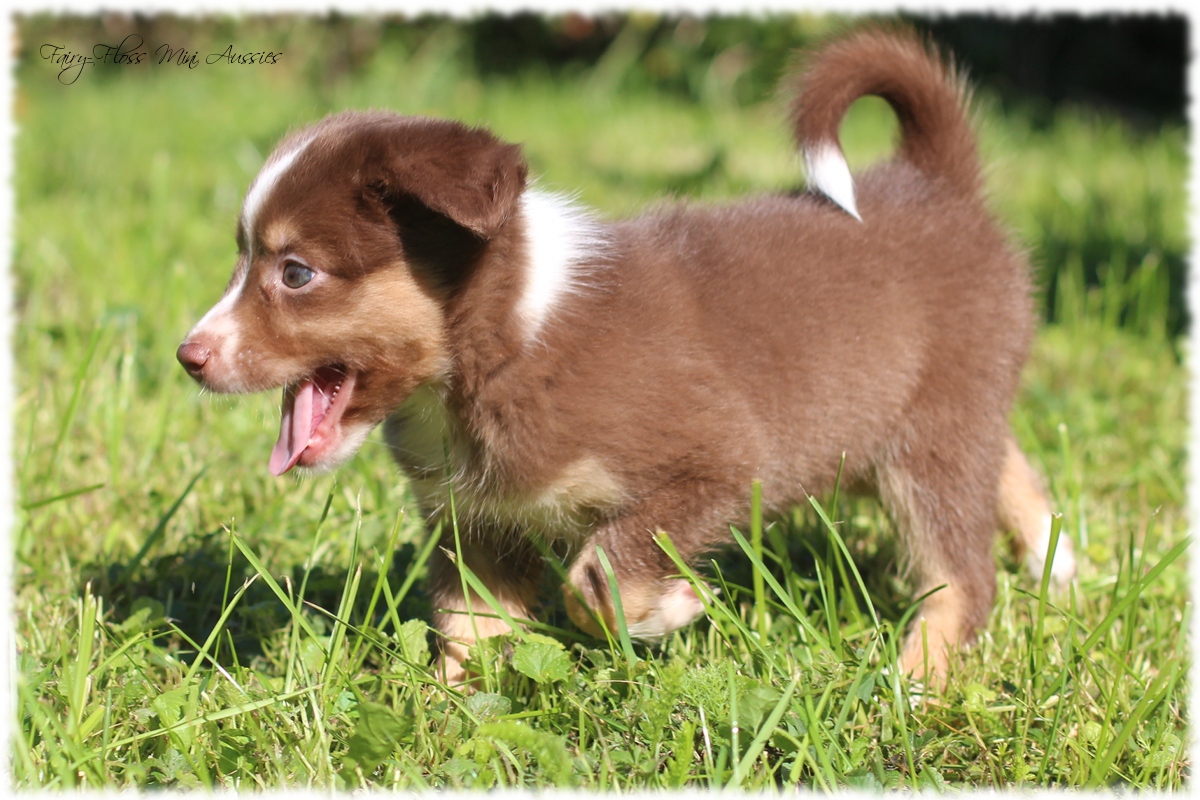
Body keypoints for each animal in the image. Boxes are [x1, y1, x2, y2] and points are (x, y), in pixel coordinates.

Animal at [175, 28, 1070, 686]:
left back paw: (915, 678)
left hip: (930, 433)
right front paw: (446, 720)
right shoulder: (473, 524)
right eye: (241, 259)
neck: (502, 342)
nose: (188, 357)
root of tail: (935, 182)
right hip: (892, 425)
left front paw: (672, 610)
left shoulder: (722, 459)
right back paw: (1057, 564)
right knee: (1007, 467)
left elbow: (597, 578)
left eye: (296, 273)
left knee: (962, 574)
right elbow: (469, 637)